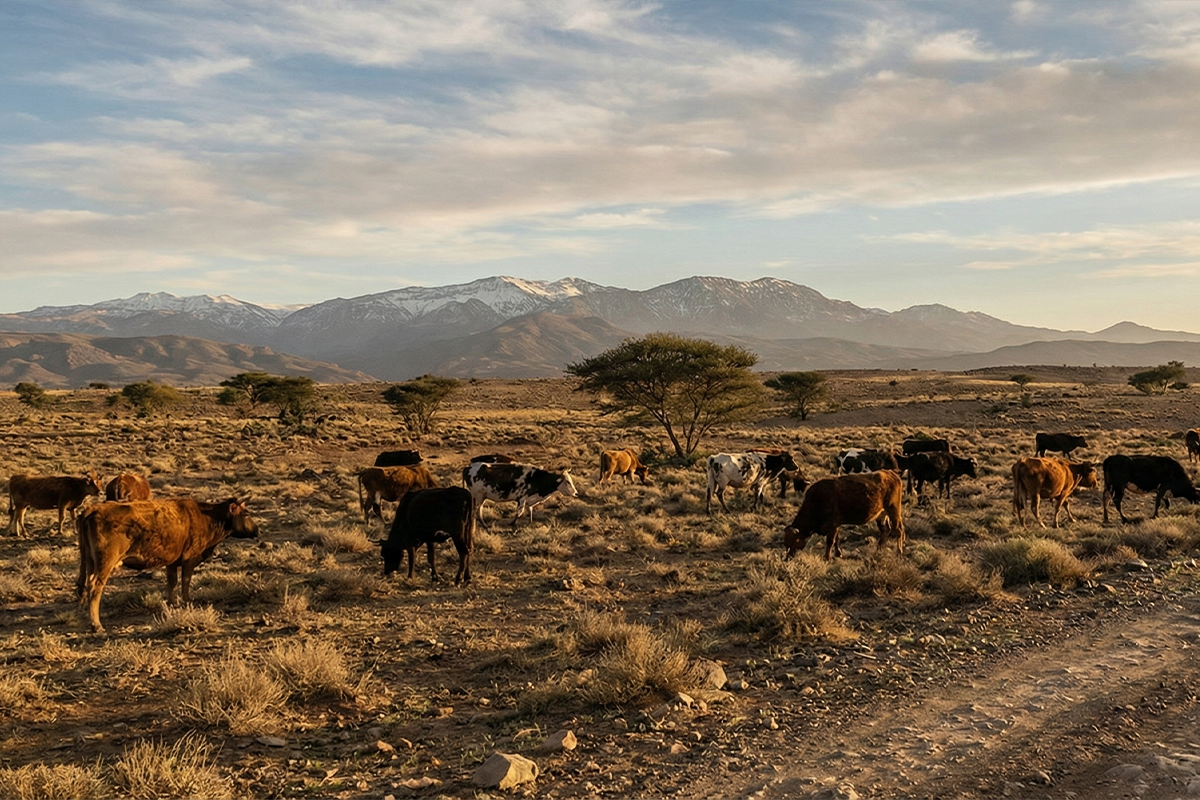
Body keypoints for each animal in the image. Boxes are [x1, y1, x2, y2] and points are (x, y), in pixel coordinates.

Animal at [76, 497, 259, 633]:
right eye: (246, 513)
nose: (257, 530)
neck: (205, 517)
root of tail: (93, 509)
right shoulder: (189, 560)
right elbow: (185, 582)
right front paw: (187, 603)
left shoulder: (171, 562)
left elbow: (172, 583)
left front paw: (171, 605)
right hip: (105, 564)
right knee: (95, 587)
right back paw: (97, 625)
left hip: (90, 562)